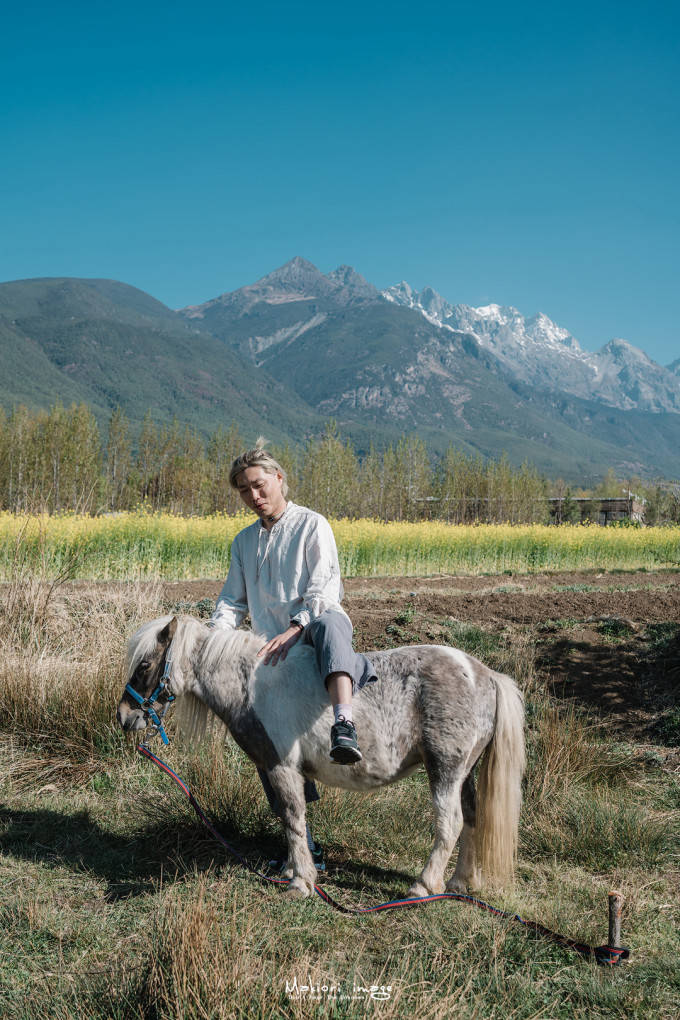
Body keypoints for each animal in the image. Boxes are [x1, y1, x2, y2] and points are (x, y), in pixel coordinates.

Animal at [118, 612, 526, 893]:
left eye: (144, 665)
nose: (124, 716)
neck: (252, 685)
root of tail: (486, 674)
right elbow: (290, 819)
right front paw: (290, 868)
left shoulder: (281, 766)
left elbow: (292, 816)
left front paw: (301, 881)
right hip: (465, 771)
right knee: (471, 817)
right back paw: (459, 882)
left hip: (445, 768)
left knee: (450, 822)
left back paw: (423, 886)